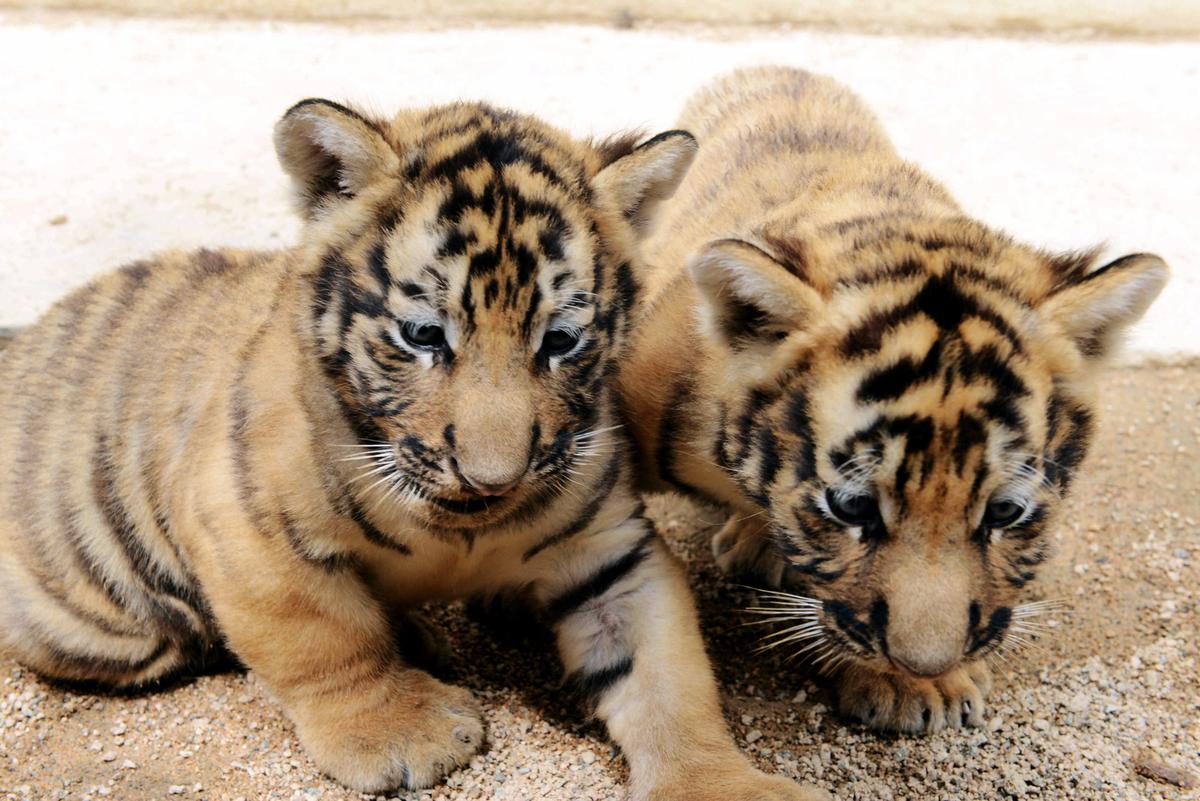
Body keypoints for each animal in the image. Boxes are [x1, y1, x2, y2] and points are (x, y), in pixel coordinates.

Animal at [0, 98, 830, 801]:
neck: (462, 525)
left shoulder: (612, 549)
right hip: (97, 628)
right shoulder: (241, 524)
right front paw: (403, 732)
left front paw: (714, 781)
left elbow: (666, 677)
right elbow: (325, 635)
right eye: (424, 335)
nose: (494, 478)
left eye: (561, 341)